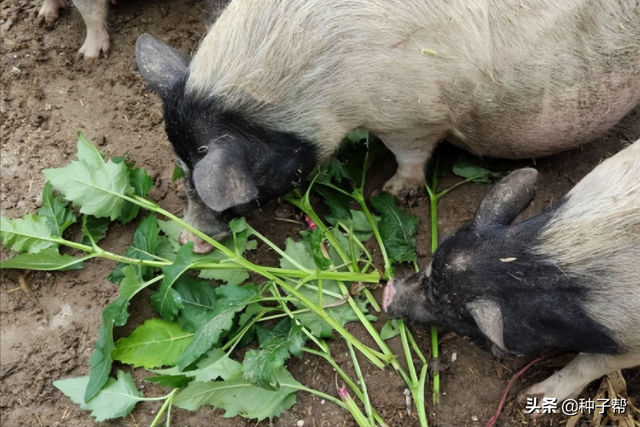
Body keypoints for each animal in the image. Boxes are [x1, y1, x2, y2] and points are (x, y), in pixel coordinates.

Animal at [135, 0, 640, 254]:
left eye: (233, 195)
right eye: (181, 166)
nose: (189, 241)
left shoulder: (413, 116)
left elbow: (410, 155)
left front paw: (392, 193)